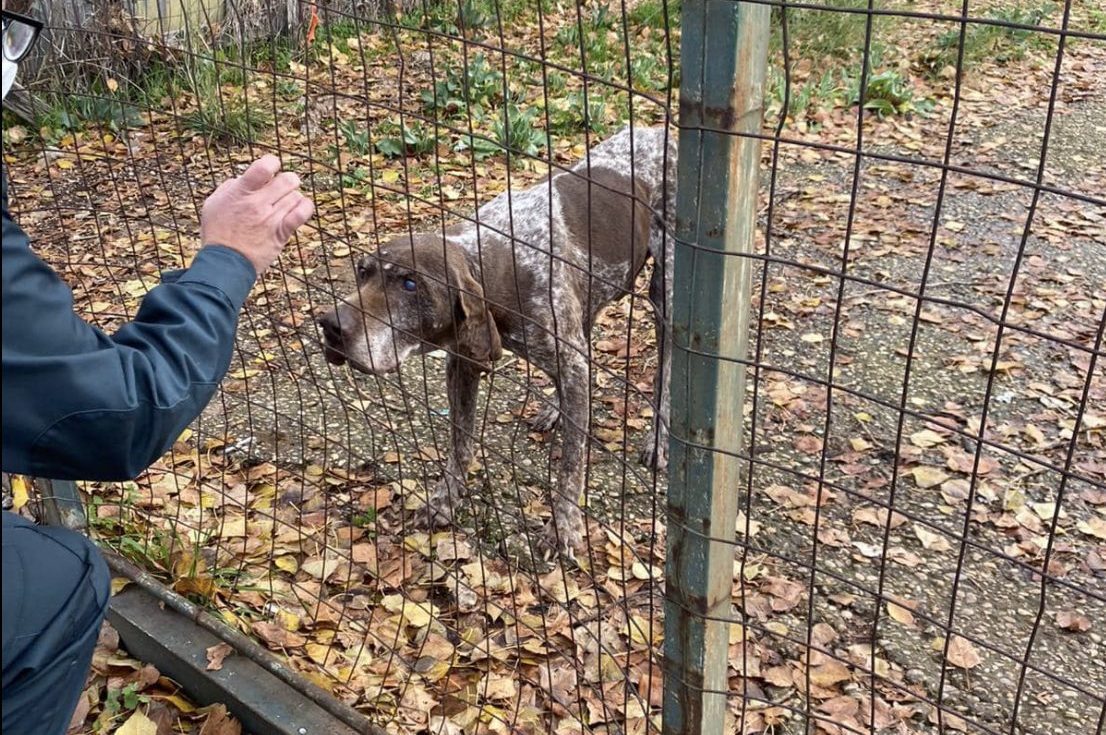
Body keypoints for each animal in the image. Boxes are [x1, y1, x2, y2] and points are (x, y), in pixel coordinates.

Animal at [318, 125, 677, 559]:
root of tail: (656, 130)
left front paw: (564, 526)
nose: (330, 326)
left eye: (409, 284)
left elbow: (572, 461)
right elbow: (460, 440)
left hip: (666, 294)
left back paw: (658, 438)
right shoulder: (463, 362)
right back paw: (556, 407)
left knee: (664, 372)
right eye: (362, 271)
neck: (499, 262)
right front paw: (445, 499)